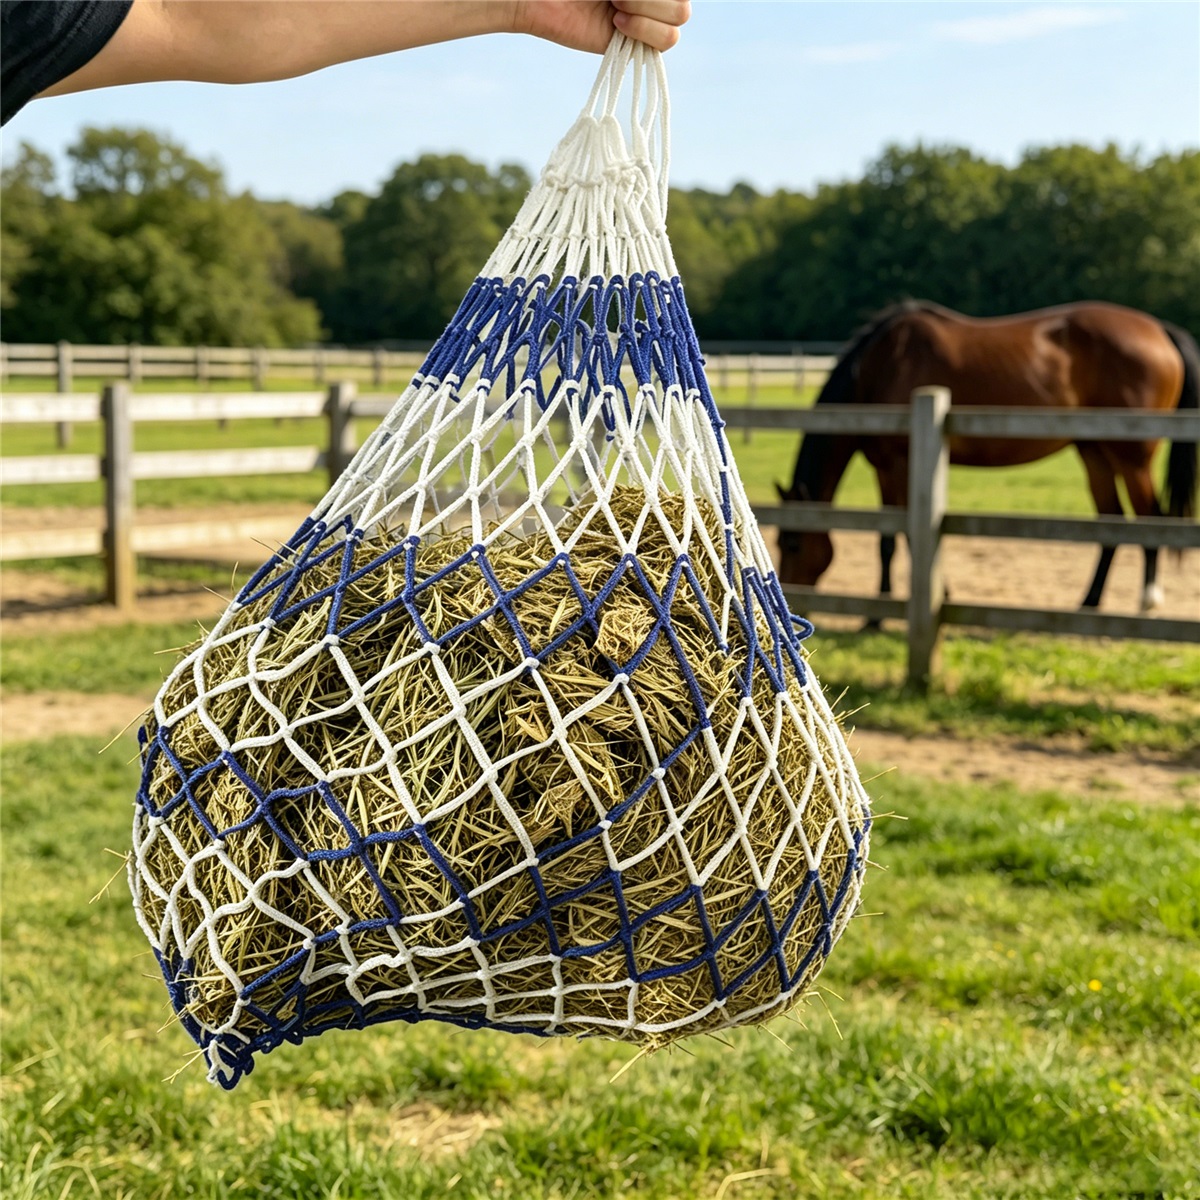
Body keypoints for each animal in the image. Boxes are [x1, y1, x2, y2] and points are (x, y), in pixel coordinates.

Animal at [775, 300, 1199, 612]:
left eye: (792, 545)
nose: (791, 605)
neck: (876, 370)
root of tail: (1160, 330)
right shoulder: (884, 468)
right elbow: (887, 539)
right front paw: (880, 612)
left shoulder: (900, 465)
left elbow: (901, 538)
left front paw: (902, 608)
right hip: (1095, 453)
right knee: (1112, 523)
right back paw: (1089, 603)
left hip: (1132, 458)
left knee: (1150, 518)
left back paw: (1147, 600)